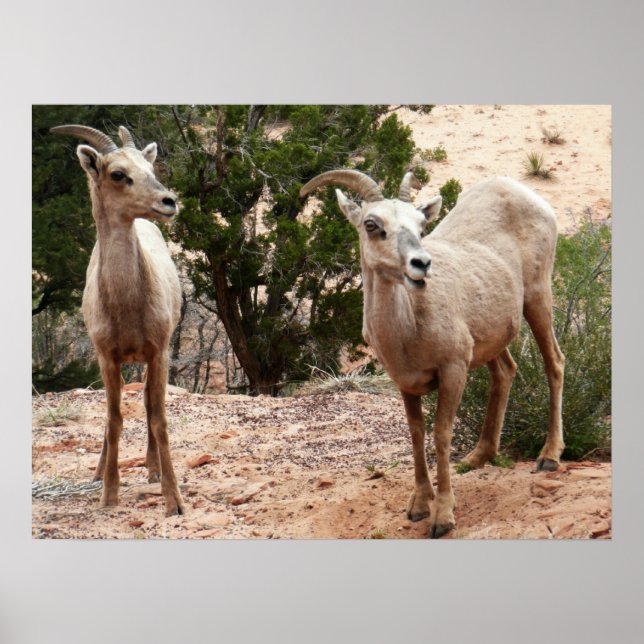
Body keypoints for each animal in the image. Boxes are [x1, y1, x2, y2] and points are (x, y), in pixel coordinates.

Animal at [51, 124, 184, 516]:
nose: (169, 202)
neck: (127, 305)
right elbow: (113, 419)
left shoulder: (159, 352)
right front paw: (109, 493)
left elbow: (158, 417)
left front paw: (174, 500)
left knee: (150, 404)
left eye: (150, 166)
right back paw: (98, 473)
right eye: (118, 174)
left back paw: (153, 470)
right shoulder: (106, 357)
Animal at [300, 169, 565, 538]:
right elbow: (416, 434)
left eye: (421, 225)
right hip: (493, 337)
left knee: (555, 363)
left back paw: (549, 457)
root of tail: (522, 191)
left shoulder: (453, 370)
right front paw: (418, 507)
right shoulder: (405, 383)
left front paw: (442, 517)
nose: (421, 264)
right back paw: (477, 458)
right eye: (371, 224)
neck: (408, 328)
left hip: (538, 299)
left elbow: (441, 434)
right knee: (505, 372)